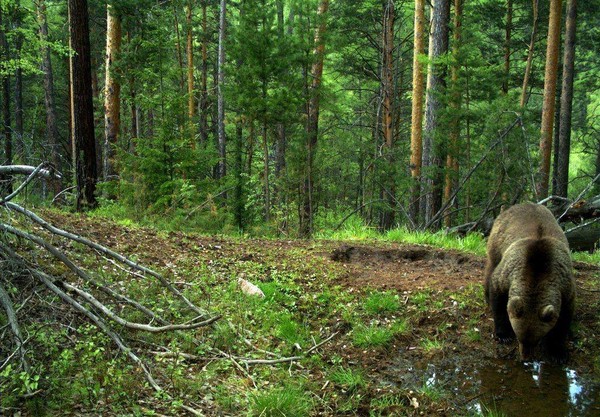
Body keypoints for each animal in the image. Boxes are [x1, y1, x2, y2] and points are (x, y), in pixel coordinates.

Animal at [482, 202, 576, 360]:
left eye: (536, 339)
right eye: (519, 337)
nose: (525, 356)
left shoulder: (564, 286)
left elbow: (563, 319)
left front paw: (558, 351)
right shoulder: (508, 272)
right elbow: (498, 296)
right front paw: (503, 335)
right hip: (497, 241)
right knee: (491, 267)